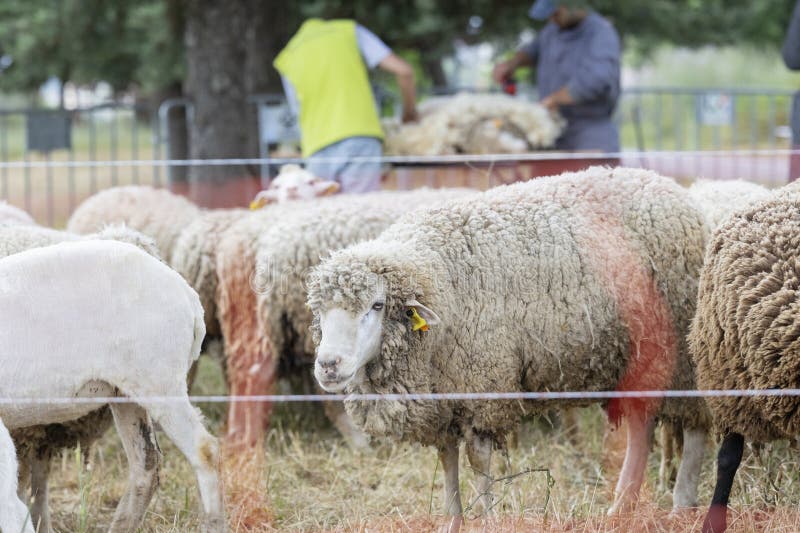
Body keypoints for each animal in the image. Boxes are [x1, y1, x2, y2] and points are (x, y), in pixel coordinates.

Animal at [308, 167, 712, 524]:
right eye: (320, 311)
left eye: (376, 306)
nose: (328, 365)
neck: (434, 278)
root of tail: (674, 190)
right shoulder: (443, 398)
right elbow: (447, 459)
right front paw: (453, 519)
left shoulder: (482, 386)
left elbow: (479, 461)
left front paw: (487, 517)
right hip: (642, 356)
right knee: (643, 426)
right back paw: (622, 507)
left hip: (681, 352)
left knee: (693, 426)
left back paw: (681, 504)